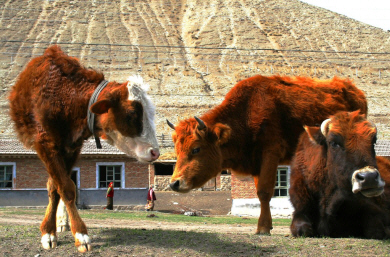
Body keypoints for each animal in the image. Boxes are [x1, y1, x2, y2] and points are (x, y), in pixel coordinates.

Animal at [8, 45, 160, 251]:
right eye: (131, 114)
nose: (155, 152)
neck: (65, 97)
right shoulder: (45, 144)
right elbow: (65, 188)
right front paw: (74, 234)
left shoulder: (72, 148)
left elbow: (58, 188)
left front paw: (57, 228)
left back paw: (62, 222)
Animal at [166, 74, 368, 234]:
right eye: (177, 149)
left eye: (196, 148)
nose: (175, 183)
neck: (247, 113)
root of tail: (356, 92)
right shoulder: (256, 162)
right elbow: (259, 193)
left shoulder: (270, 155)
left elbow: (264, 192)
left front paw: (262, 228)